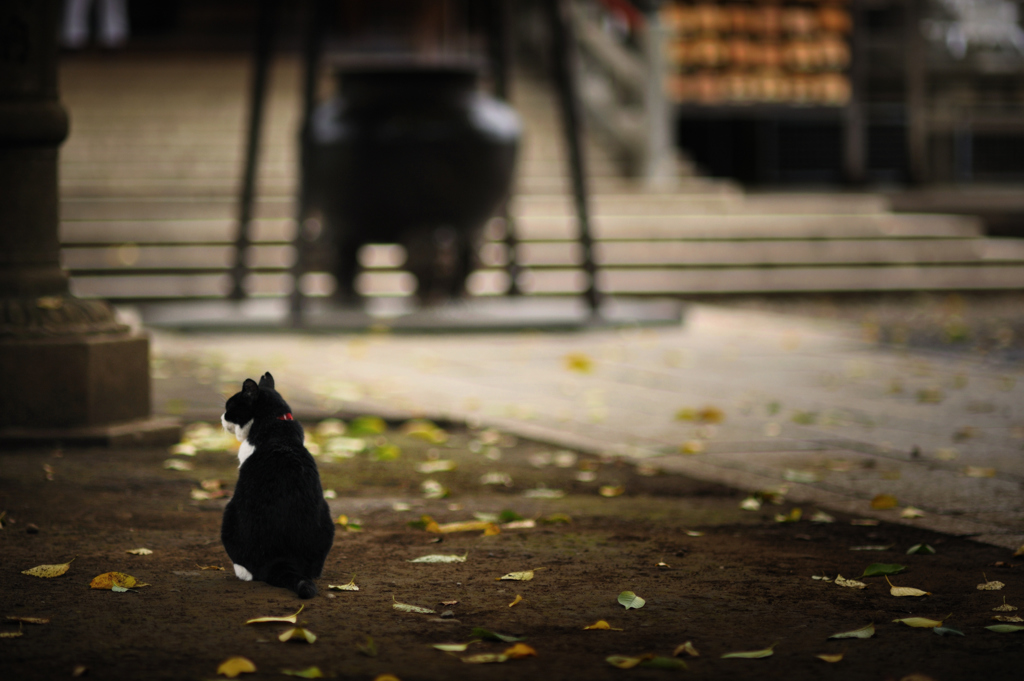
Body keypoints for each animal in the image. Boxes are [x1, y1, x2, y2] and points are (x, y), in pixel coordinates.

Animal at [221, 368, 335, 598]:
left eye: (229, 407)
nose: (221, 418)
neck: (277, 422)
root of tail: (280, 560)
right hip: (327, 516)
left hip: (229, 511)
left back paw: (240, 572)